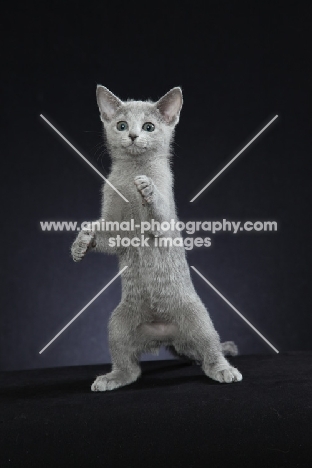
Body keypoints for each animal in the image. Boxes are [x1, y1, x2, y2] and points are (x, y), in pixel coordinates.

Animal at [71, 85, 244, 392]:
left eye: (149, 126)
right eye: (122, 125)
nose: (133, 135)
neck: (130, 173)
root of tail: (164, 334)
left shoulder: (166, 221)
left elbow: (159, 212)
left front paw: (147, 188)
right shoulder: (116, 229)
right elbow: (101, 234)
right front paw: (80, 244)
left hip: (199, 318)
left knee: (211, 351)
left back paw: (224, 371)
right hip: (117, 324)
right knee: (130, 368)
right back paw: (110, 378)